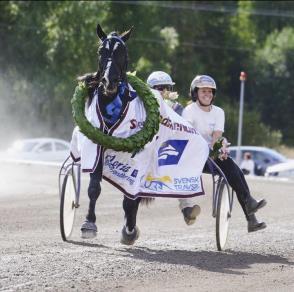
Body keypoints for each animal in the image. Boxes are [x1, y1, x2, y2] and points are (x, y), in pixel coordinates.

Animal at [78, 24, 141, 244]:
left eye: (123, 52)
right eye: (100, 51)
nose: (109, 81)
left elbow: (131, 197)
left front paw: (129, 230)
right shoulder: (97, 144)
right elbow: (93, 187)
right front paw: (89, 223)